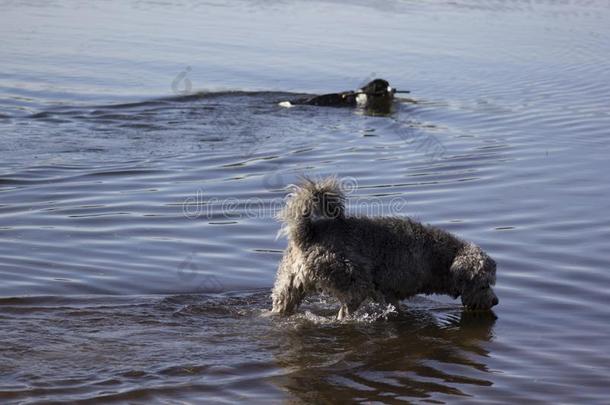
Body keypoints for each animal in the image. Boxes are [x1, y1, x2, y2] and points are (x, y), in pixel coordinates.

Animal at [270, 178, 494, 318]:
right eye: (484, 285)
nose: (496, 302)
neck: (440, 259)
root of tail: (307, 235)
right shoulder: (389, 289)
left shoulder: (390, 293)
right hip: (353, 283)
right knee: (343, 313)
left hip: (287, 288)